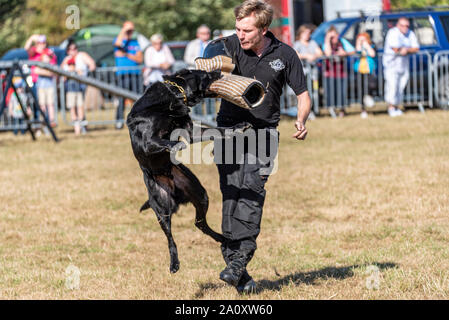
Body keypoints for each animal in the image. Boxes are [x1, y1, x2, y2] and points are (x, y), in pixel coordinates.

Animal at [128, 69, 250, 272]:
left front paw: (238, 127)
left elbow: (218, 130)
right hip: (162, 208)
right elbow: (165, 141)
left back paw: (221, 238)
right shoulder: (148, 141)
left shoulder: (191, 132)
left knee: (199, 223)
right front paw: (176, 146)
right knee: (170, 239)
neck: (174, 95)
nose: (219, 71)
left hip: (199, 194)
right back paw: (174, 263)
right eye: (206, 74)